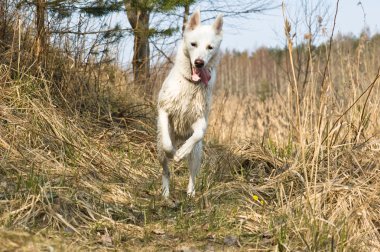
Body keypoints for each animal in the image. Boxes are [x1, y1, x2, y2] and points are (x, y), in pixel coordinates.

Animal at [157, 9, 223, 198]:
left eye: (210, 47)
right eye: (193, 44)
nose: (199, 63)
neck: (191, 85)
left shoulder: (198, 119)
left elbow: (199, 133)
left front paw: (181, 152)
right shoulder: (164, 111)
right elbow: (167, 145)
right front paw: (173, 152)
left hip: (197, 154)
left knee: (192, 174)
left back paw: (191, 194)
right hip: (159, 151)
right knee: (166, 170)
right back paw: (165, 194)